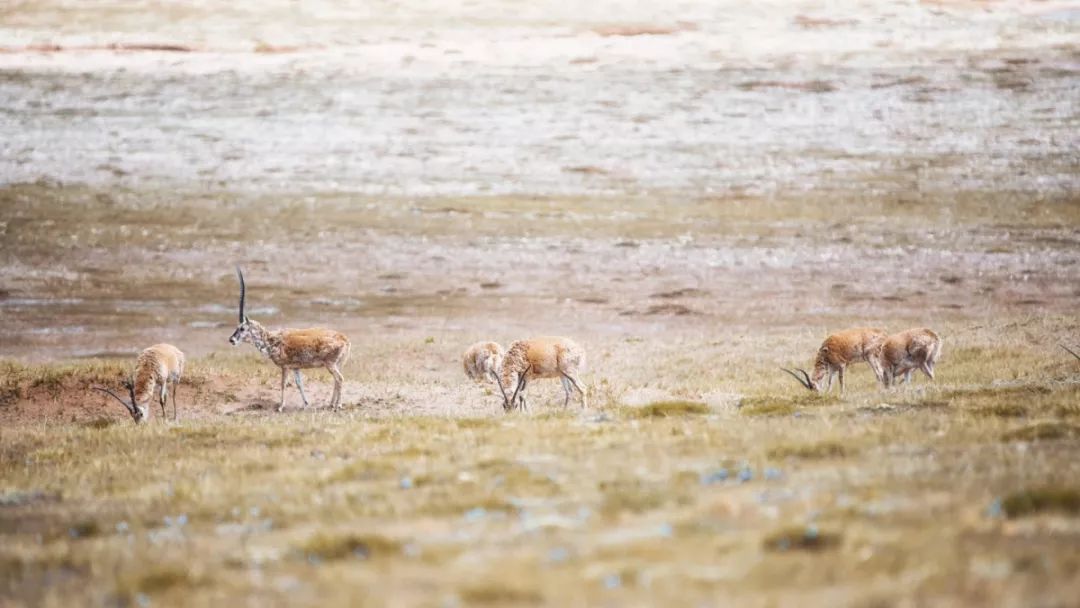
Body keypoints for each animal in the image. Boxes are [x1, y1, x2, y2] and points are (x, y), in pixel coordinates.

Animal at [227, 268, 349, 412]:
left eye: (242, 328)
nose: (231, 340)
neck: (272, 339)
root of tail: (344, 338)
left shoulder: (285, 367)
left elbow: (283, 384)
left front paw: (280, 407)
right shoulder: (295, 367)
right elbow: (299, 384)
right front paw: (305, 404)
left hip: (330, 364)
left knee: (339, 379)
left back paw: (338, 405)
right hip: (337, 364)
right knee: (336, 380)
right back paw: (331, 404)